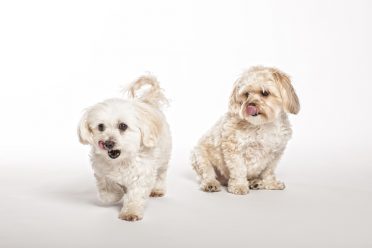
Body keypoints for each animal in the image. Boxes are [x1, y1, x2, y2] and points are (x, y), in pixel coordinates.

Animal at [79, 75, 172, 221]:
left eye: (123, 126)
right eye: (101, 126)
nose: (108, 143)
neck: (121, 160)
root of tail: (147, 103)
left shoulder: (142, 173)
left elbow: (135, 195)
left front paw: (130, 212)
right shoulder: (101, 171)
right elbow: (108, 191)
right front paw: (118, 193)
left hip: (163, 157)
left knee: (161, 174)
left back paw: (157, 189)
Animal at [192, 67, 300, 195]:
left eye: (265, 93)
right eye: (246, 94)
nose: (250, 105)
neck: (263, 124)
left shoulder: (275, 154)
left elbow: (268, 171)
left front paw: (271, 183)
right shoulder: (234, 148)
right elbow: (238, 169)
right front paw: (238, 186)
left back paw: (255, 182)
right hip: (200, 156)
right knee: (207, 173)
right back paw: (210, 184)